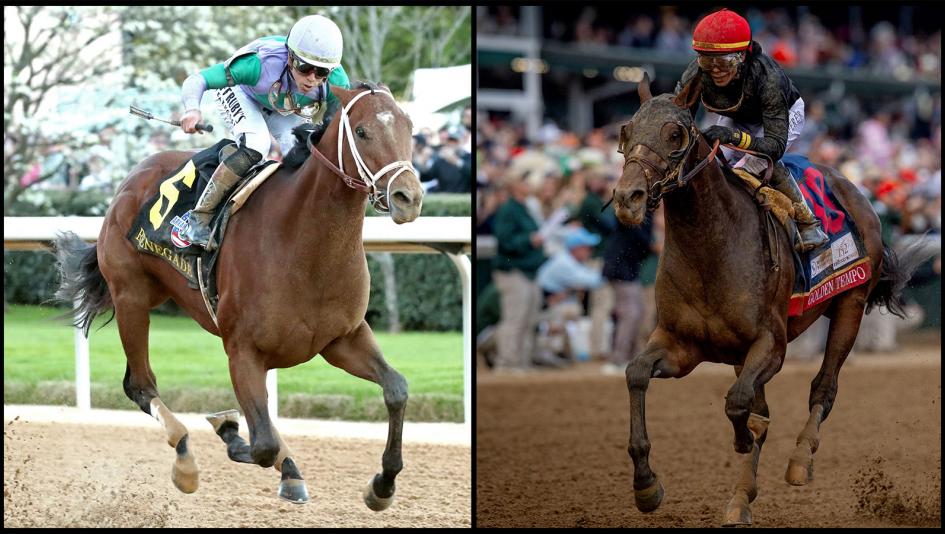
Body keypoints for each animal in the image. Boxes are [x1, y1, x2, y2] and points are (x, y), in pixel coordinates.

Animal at [53, 82, 424, 510]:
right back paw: (186, 460)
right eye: (361, 132)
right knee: (140, 385)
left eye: (409, 127)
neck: (306, 245)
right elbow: (261, 443)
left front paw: (382, 485)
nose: (408, 197)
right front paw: (230, 429)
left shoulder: (342, 338)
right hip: (131, 296)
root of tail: (133, 176)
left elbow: (397, 388)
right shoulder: (243, 351)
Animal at [611, 74, 926, 526]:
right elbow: (636, 373)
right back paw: (740, 499)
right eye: (627, 131)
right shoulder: (680, 344)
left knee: (823, 387)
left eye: (674, 134)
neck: (711, 248)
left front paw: (745, 441)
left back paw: (799, 461)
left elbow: (740, 405)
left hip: (850, 305)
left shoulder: (771, 345)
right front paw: (646, 485)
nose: (627, 198)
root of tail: (852, 186)